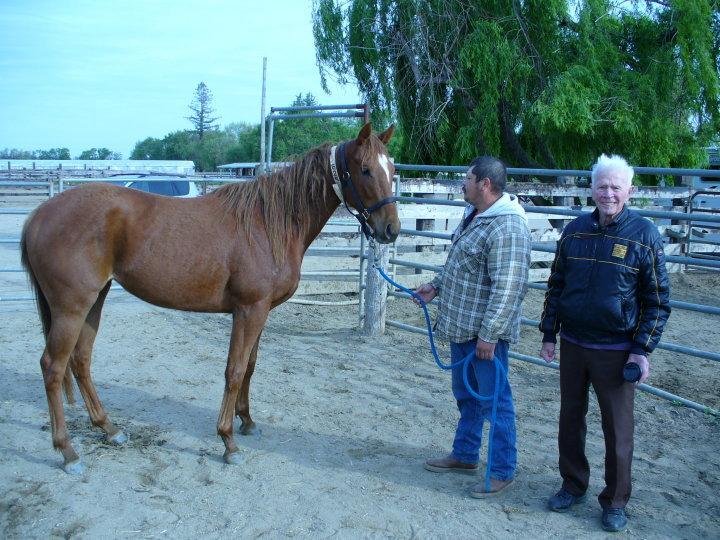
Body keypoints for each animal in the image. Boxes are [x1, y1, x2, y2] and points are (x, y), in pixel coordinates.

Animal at [20, 123, 400, 474]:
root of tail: (38, 214)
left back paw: (109, 429)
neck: (268, 224)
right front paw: (228, 441)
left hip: (94, 300)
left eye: (392, 168)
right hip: (71, 307)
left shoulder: (260, 311)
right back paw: (68, 452)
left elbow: (250, 366)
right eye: (365, 169)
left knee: (81, 361)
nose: (391, 230)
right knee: (53, 367)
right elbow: (234, 370)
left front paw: (247, 422)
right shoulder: (248, 310)